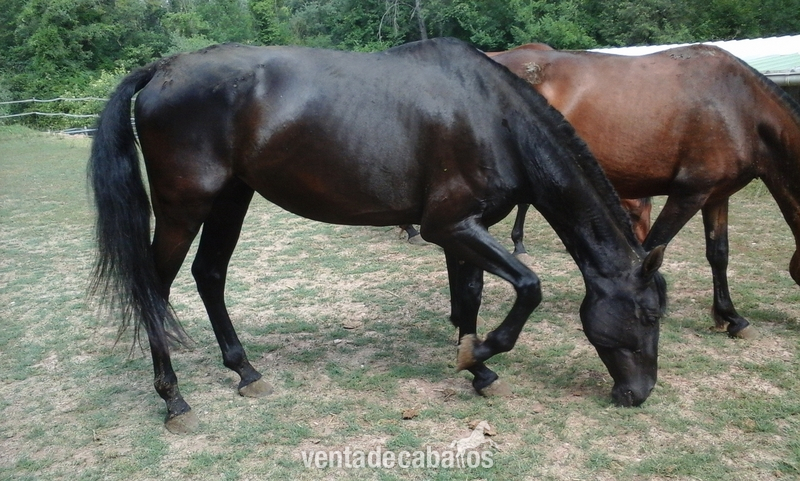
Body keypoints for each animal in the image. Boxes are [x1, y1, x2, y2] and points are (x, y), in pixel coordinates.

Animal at [88, 37, 666, 433]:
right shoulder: (450, 227)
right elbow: (528, 287)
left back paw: (245, 372)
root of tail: (163, 69)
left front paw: (476, 369)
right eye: (647, 315)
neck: (491, 117)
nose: (638, 394)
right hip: (184, 208)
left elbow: (471, 295)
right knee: (155, 288)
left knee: (209, 275)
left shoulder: (466, 229)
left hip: (232, 198)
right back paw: (174, 400)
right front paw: (479, 356)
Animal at [490, 43, 800, 339]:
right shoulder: (689, 194)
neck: (740, 106)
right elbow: (651, 248)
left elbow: (718, 254)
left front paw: (732, 318)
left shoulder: (716, 195)